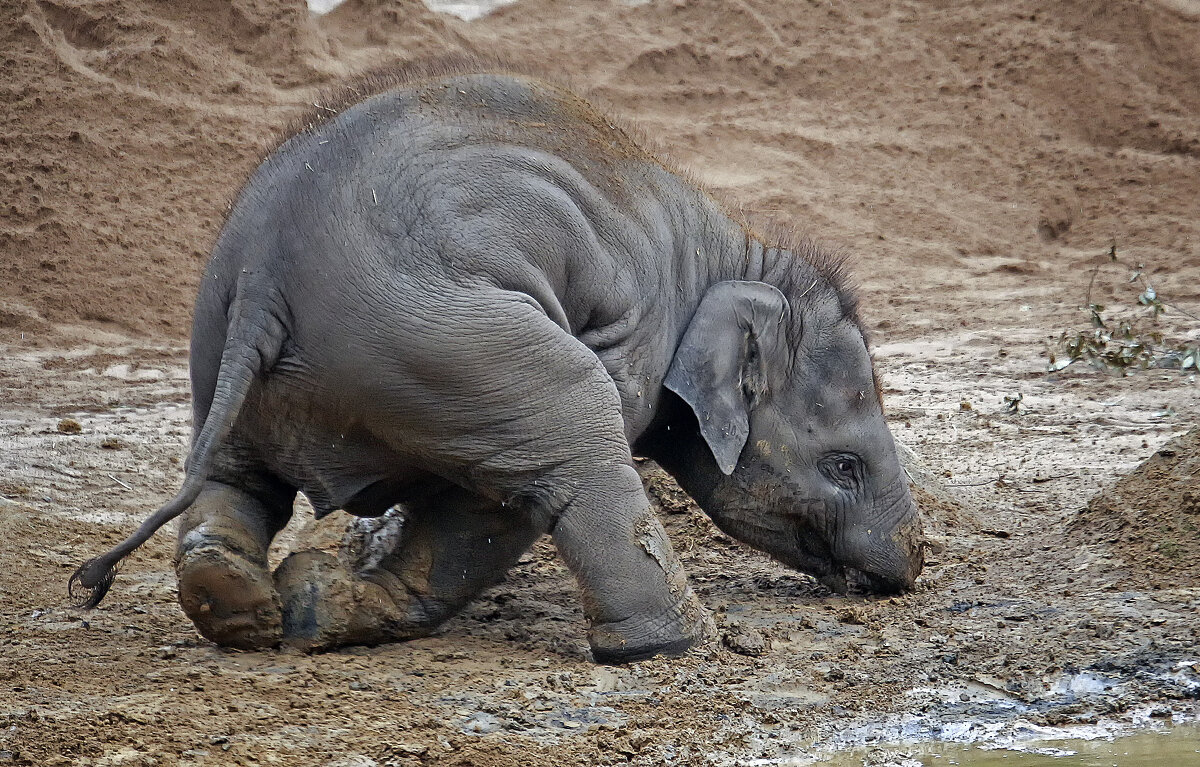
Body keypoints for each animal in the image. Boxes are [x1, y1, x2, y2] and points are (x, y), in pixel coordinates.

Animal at [72, 60, 916, 662]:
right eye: (845, 466)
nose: (911, 571)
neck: (732, 251)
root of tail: (263, 274)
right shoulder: (628, 336)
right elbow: (506, 499)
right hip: (446, 339)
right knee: (575, 435)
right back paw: (674, 645)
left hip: (232, 354)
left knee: (235, 478)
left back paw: (257, 607)